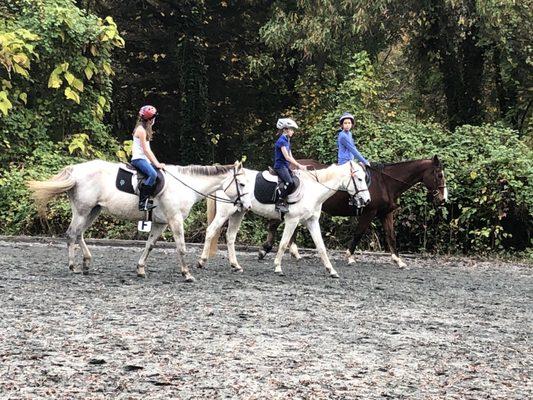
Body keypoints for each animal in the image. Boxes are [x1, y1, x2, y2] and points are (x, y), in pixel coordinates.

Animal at [25, 159, 249, 282]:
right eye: (242, 184)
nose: (246, 206)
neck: (184, 185)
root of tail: (76, 170)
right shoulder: (175, 220)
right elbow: (181, 248)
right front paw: (187, 273)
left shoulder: (160, 223)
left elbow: (149, 245)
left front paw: (141, 269)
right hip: (83, 210)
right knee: (72, 234)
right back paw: (74, 266)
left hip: (93, 211)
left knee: (78, 233)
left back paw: (86, 262)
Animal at [196, 161, 370, 276]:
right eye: (359, 179)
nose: (367, 200)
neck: (313, 190)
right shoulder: (292, 220)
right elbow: (284, 243)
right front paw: (277, 267)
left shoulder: (312, 222)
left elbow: (321, 246)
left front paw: (331, 270)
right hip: (225, 213)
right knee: (211, 231)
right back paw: (202, 261)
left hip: (238, 212)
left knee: (230, 237)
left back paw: (235, 265)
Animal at [260, 155, 446, 268]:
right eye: (439, 175)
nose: (443, 199)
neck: (385, 182)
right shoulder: (369, 212)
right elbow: (358, 233)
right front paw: (349, 256)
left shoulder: (386, 213)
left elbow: (391, 236)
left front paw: (399, 260)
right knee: (275, 223)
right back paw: (269, 249)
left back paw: (294, 252)